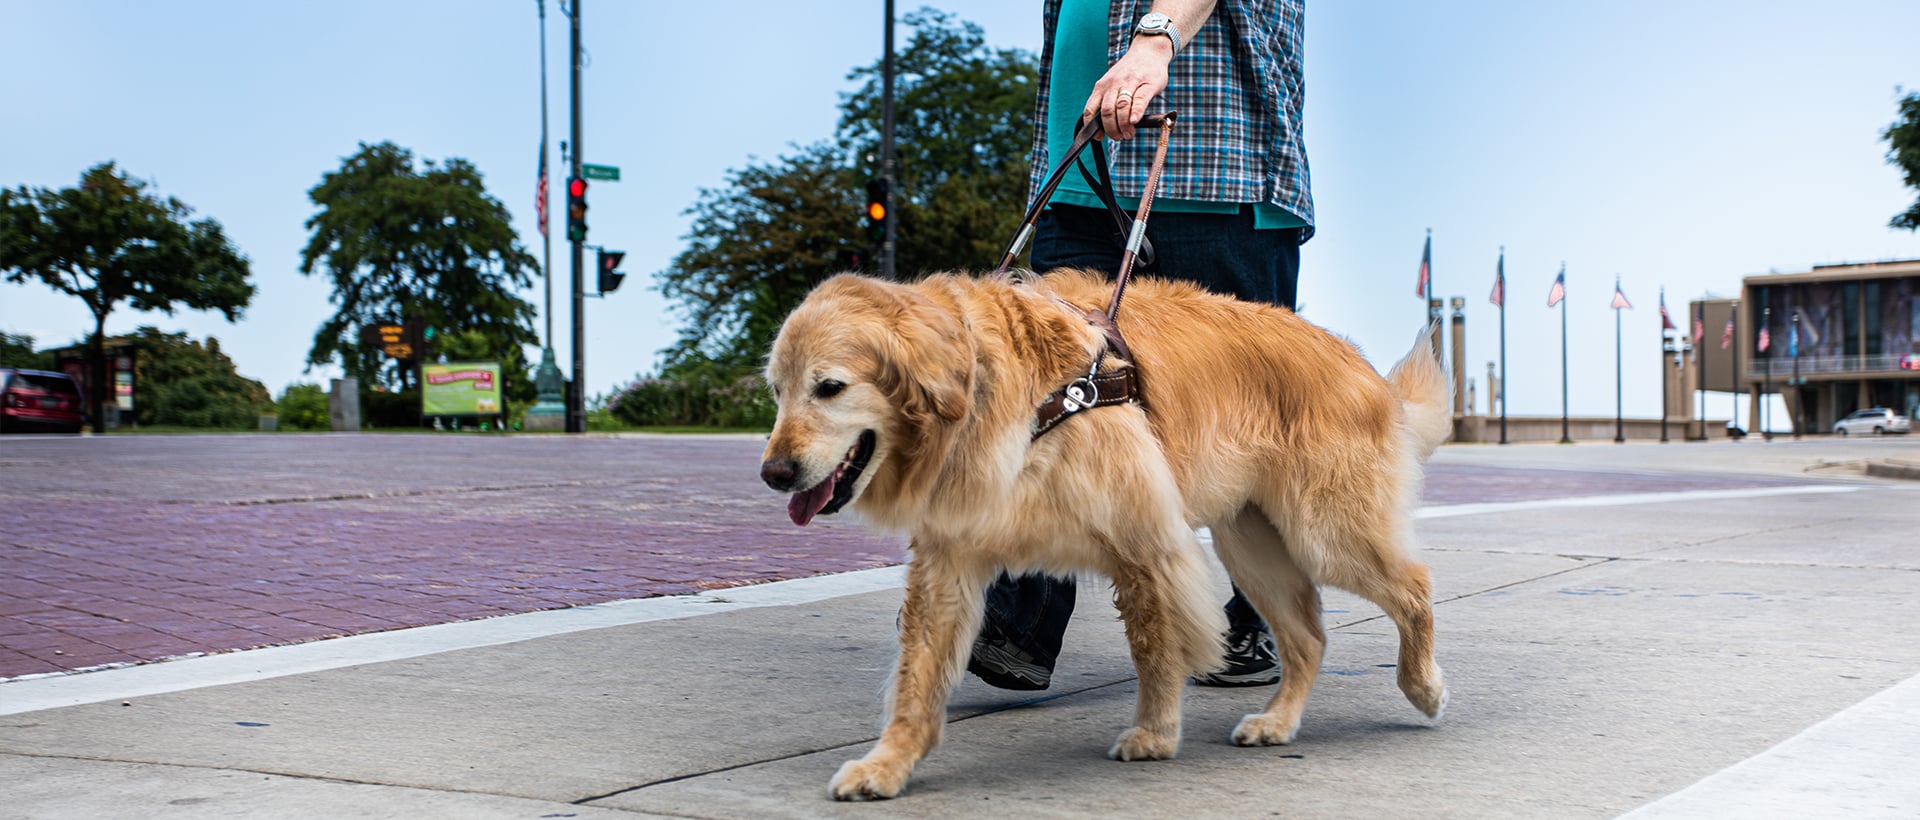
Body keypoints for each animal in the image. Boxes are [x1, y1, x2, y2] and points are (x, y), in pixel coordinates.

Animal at [756, 268, 1443, 802]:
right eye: (778, 390)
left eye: (830, 387)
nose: (773, 473)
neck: (999, 394)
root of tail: (1361, 366)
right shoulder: (947, 562)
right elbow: (916, 679)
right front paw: (889, 763)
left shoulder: (1144, 540)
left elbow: (1154, 649)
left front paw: (1156, 734)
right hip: (1251, 545)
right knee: (1309, 639)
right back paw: (1278, 722)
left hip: (1325, 532)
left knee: (1414, 587)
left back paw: (1424, 686)